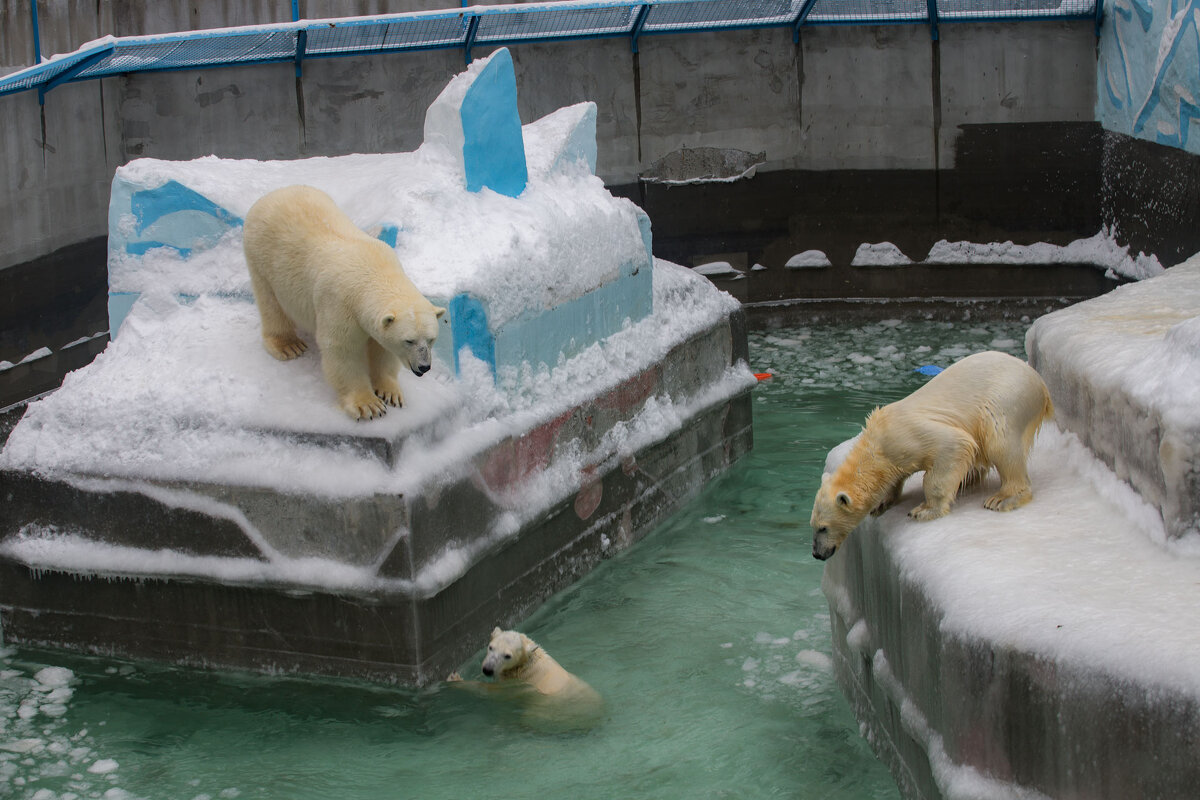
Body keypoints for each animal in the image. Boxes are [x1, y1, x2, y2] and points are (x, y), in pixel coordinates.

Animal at [242, 185, 446, 422]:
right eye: (409, 341)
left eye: (431, 339)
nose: (424, 367)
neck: (373, 270)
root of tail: (272, 194)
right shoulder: (339, 303)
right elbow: (342, 350)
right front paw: (368, 405)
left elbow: (382, 349)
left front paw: (390, 392)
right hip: (261, 256)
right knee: (270, 303)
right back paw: (288, 346)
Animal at [811, 350, 1056, 563]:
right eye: (812, 525)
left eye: (823, 527)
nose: (817, 554)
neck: (876, 445)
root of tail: (1039, 382)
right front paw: (881, 503)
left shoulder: (910, 436)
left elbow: (953, 446)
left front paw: (924, 510)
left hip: (1007, 397)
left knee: (999, 440)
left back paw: (1002, 498)